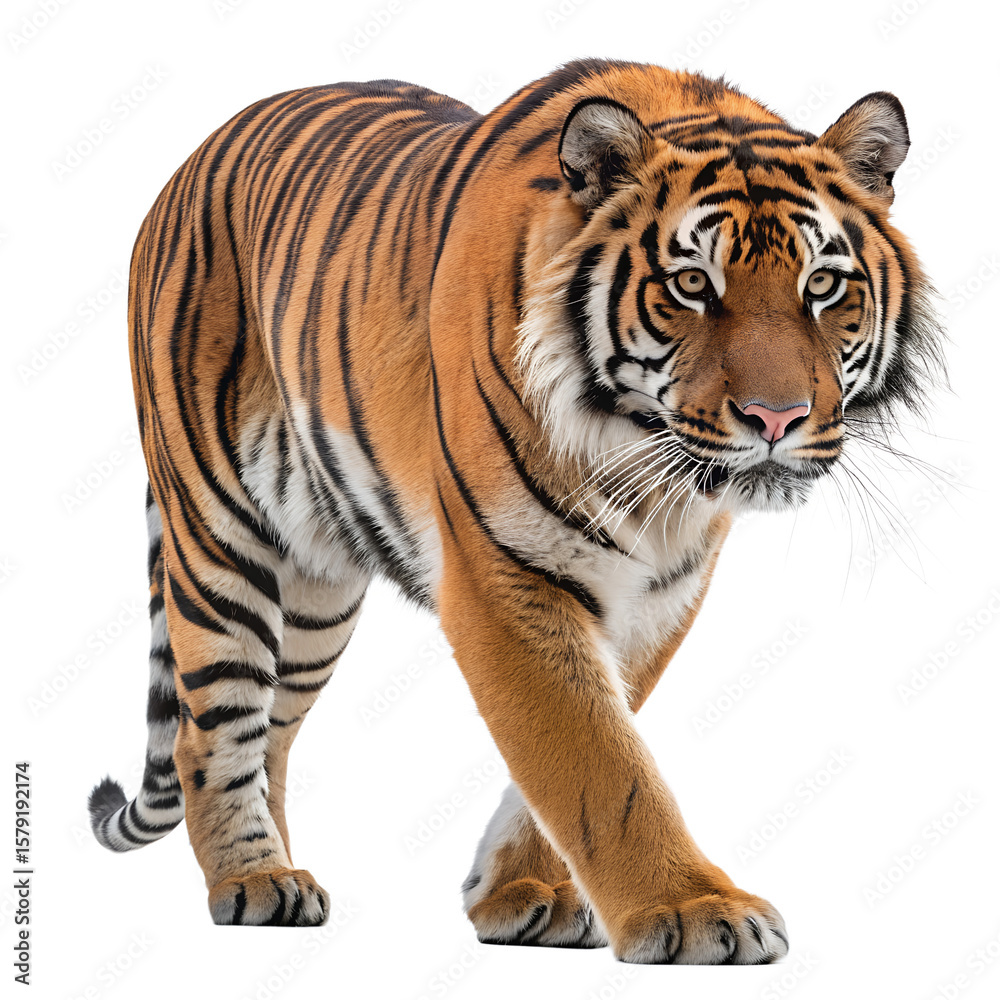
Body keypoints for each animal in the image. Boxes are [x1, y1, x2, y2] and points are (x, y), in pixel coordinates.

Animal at [88, 57, 943, 964]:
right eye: (691, 285)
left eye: (823, 286)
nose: (776, 419)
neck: (645, 467)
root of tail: (194, 157)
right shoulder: (506, 577)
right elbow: (595, 759)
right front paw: (692, 909)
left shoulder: (660, 594)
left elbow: (588, 743)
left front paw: (520, 896)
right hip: (220, 537)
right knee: (209, 729)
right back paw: (251, 881)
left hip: (315, 594)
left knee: (273, 735)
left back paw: (284, 869)